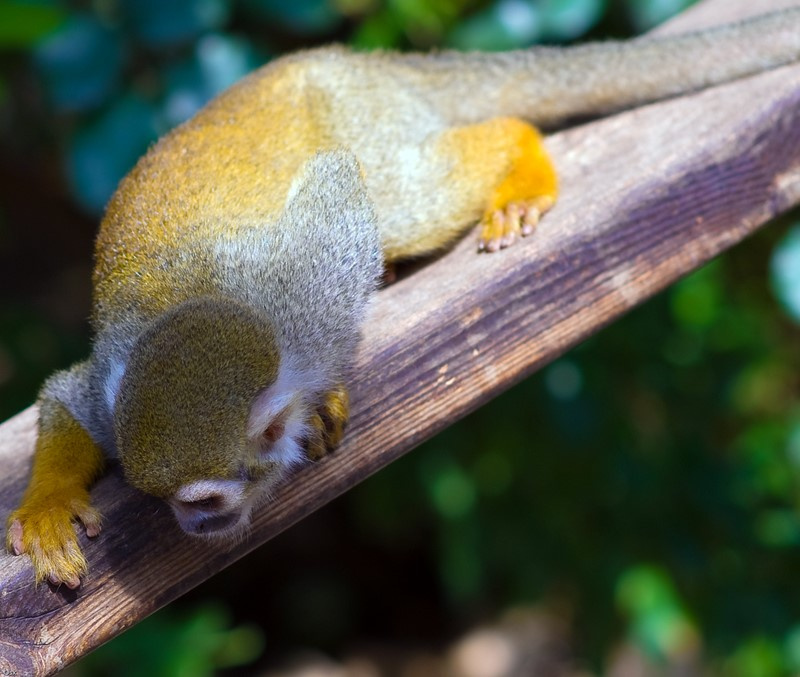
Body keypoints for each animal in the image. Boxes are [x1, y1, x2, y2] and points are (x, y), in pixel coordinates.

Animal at [6, 8, 800, 589]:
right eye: (162, 498)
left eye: (203, 500)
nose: (190, 525)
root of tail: (348, 60)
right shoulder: (118, 395)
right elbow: (66, 394)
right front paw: (46, 505)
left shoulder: (315, 291)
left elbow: (339, 193)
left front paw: (323, 395)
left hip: (359, 117)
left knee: (399, 196)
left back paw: (515, 152)